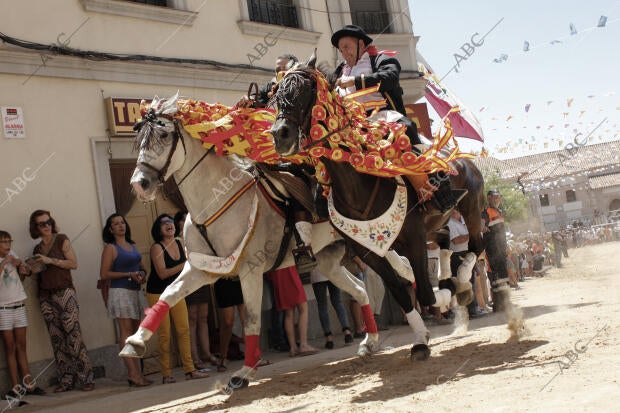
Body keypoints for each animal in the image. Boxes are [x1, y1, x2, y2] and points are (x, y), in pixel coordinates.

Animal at [119, 95, 380, 388]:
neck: (215, 202)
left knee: (399, 266)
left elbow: (252, 320)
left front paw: (244, 372)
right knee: (359, 289)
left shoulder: (250, 270)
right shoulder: (201, 269)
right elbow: (168, 294)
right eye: (140, 139)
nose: (140, 184)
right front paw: (134, 342)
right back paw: (370, 341)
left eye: (163, 135)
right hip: (328, 263)